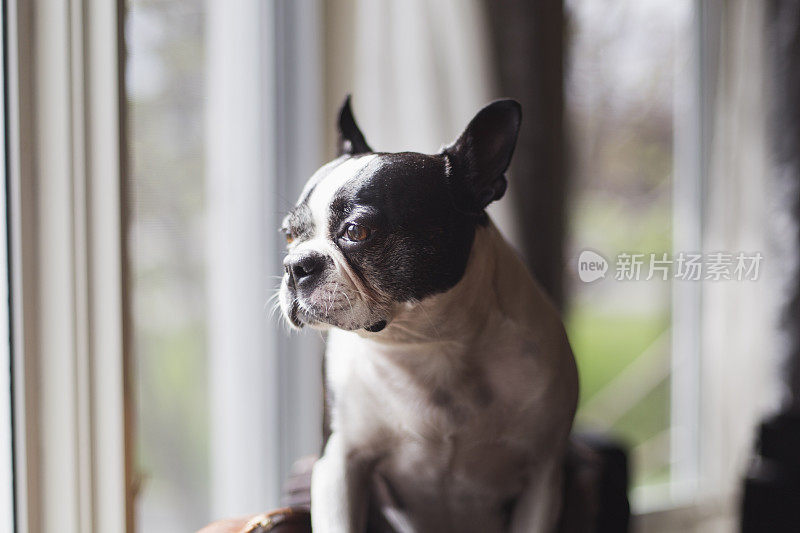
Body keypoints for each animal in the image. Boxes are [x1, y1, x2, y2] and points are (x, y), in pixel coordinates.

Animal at [278, 96, 580, 532]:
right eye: (288, 235)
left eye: (357, 232)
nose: (295, 266)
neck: (429, 344)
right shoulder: (338, 465)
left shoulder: (543, 478)